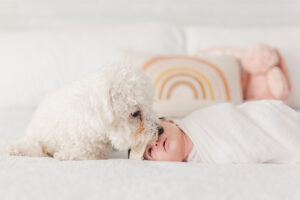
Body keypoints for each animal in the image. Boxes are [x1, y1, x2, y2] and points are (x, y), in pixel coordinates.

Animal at [7, 63, 162, 160]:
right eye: (135, 113)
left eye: (150, 107)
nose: (160, 130)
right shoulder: (40, 133)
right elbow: (33, 144)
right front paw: (17, 149)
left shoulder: (97, 151)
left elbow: (86, 152)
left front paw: (68, 154)